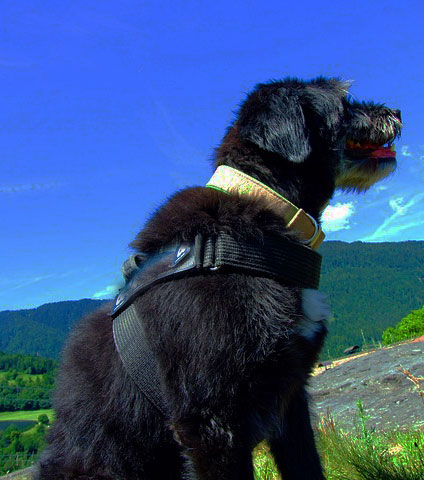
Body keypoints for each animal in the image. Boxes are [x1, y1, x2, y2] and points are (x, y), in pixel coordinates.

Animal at [35, 77, 400, 478]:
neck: (267, 214)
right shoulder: (209, 421)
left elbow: (306, 465)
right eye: (344, 102)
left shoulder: (290, 396)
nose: (397, 111)